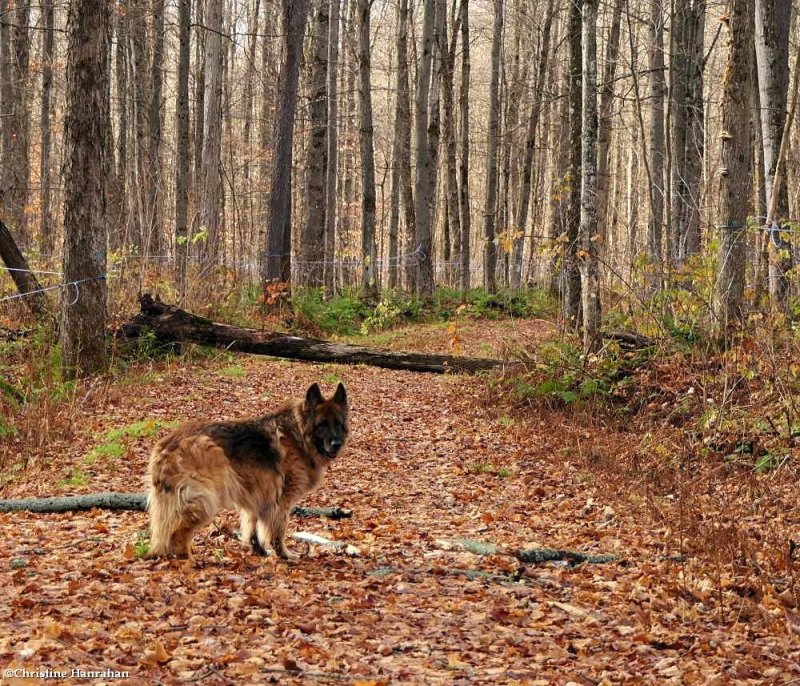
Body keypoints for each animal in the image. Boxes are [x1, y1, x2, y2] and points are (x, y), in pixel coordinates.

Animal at [147, 384, 346, 560]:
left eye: (338, 423)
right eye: (322, 424)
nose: (336, 444)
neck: (298, 434)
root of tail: (167, 444)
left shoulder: (258, 497)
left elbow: (253, 527)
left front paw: (260, 551)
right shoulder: (281, 501)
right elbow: (278, 530)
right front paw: (284, 555)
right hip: (204, 499)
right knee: (177, 532)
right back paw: (186, 559)